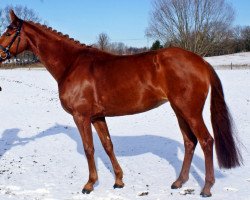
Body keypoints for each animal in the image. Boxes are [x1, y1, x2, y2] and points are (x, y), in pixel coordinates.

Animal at [0, 10, 242, 197]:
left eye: (9, 32)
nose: (0, 54)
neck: (72, 64)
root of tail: (200, 61)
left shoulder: (81, 116)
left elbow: (89, 148)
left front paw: (89, 185)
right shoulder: (97, 116)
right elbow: (107, 145)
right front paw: (118, 181)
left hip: (190, 111)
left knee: (206, 141)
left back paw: (206, 188)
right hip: (179, 110)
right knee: (190, 142)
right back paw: (178, 182)